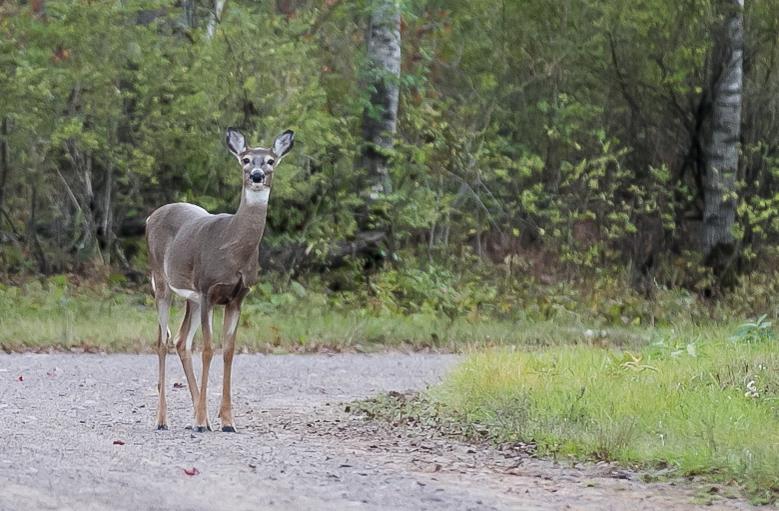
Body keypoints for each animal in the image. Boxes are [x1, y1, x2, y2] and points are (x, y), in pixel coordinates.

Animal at [145, 128, 294, 432]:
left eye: (271, 160)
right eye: (245, 159)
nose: (257, 175)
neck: (233, 248)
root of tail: (149, 217)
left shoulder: (237, 297)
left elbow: (228, 350)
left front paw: (226, 421)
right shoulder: (208, 290)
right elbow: (208, 349)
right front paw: (204, 421)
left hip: (190, 298)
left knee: (181, 340)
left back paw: (196, 415)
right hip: (162, 282)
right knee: (163, 341)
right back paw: (163, 419)